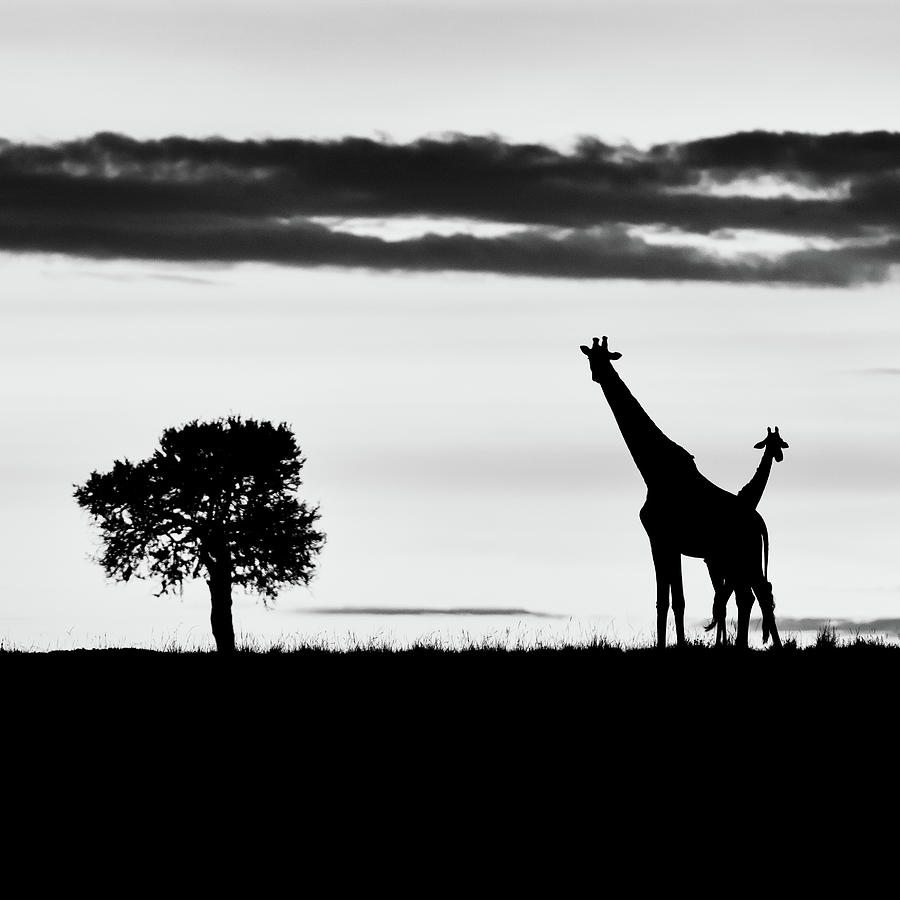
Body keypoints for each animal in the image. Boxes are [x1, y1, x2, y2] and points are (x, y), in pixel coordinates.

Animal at [704, 430, 788, 648]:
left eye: (781, 441)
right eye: (772, 442)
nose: (780, 456)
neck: (748, 499)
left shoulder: (728, 568)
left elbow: (726, 600)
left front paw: (723, 643)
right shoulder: (722, 567)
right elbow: (724, 601)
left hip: (746, 566)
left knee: (756, 595)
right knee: (757, 594)